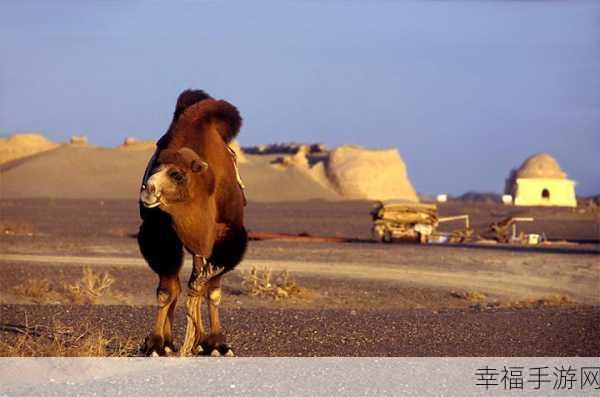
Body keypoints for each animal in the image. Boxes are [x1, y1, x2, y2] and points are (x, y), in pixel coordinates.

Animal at [138, 89, 246, 356]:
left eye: (177, 174)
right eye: (154, 168)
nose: (148, 190)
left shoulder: (226, 234)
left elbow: (212, 290)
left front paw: (217, 343)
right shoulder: (159, 233)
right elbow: (167, 291)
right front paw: (156, 344)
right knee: (176, 286)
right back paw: (169, 342)